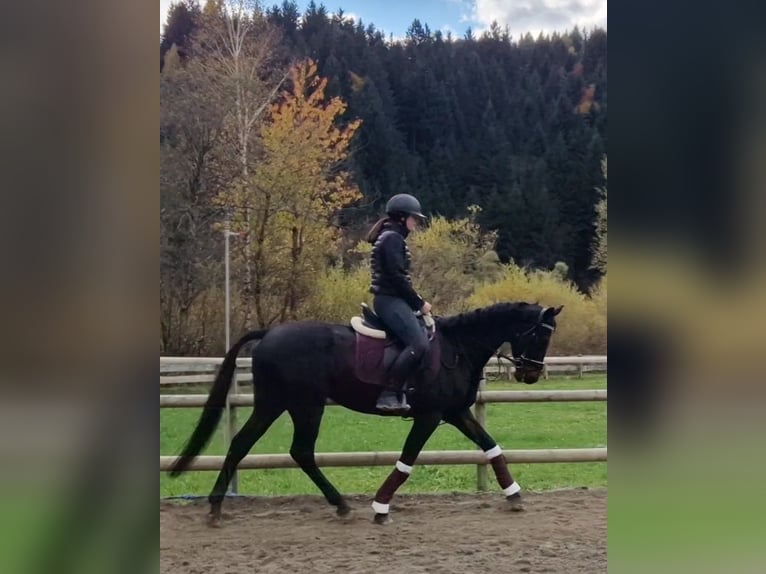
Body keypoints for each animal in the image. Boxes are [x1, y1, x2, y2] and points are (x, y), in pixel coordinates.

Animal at [168, 301, 562, 525]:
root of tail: (269, 334)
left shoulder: (455, 412)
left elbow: (491, 446)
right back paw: (339, 505)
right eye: (539, 335)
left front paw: (514, 495)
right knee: (299, 451)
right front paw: (381, 507)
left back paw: (217, 507)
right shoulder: (430, 416)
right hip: (305, 405)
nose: (530, 374)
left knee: (243, 444)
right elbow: (407, 460)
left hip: (275, 404)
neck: (458, 347)